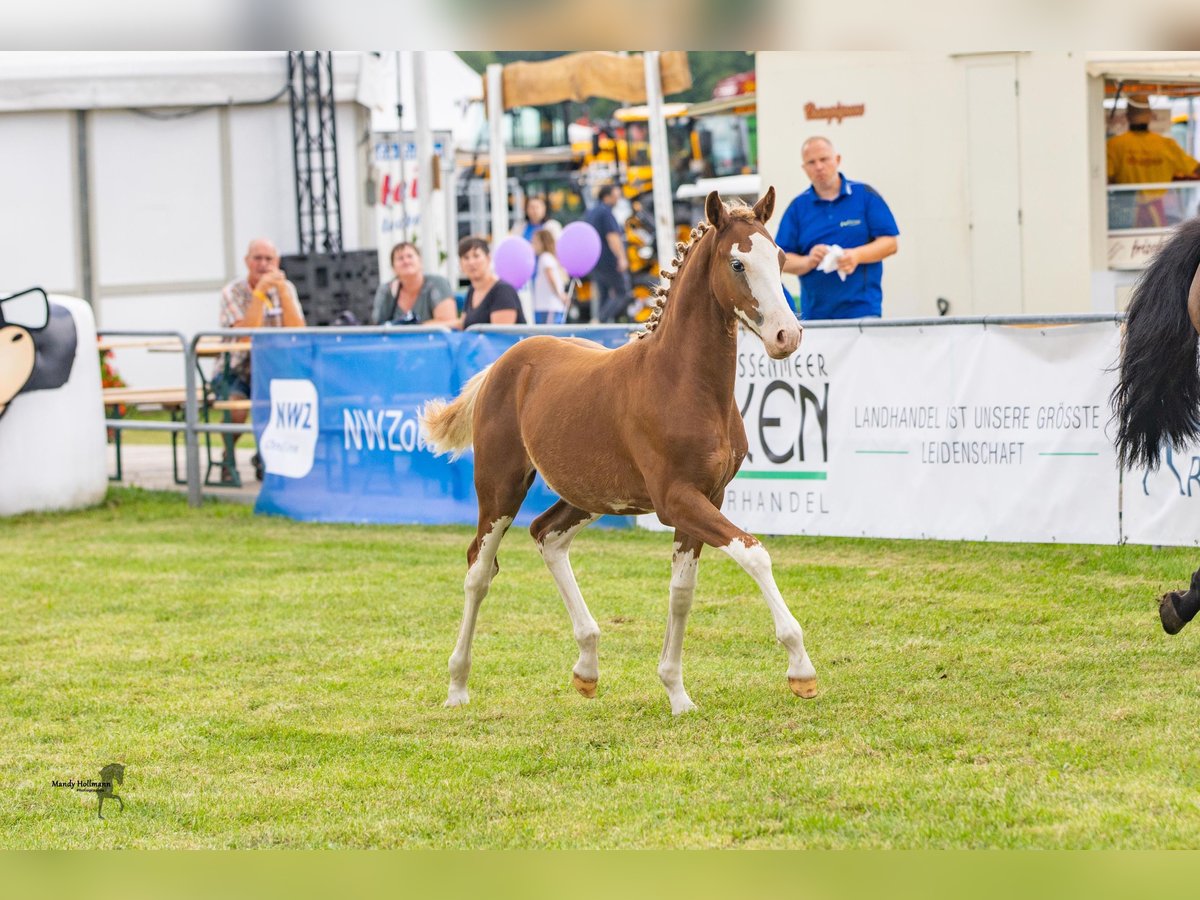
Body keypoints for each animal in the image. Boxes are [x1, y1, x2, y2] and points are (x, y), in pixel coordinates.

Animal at [417, 187, 820, 715]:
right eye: (737, 263)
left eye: (780, 257)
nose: (786, 336)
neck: (682, 383)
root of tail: (504, 362)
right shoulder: (676, 500)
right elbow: (755, 555)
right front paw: (801, 670)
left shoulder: (707, 498)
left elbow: (682, 591)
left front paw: (677, 692)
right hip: (500, 488)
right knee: (480, 570)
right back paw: (458, 685)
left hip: (590, 496)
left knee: (546, 535)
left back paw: (587, 666)